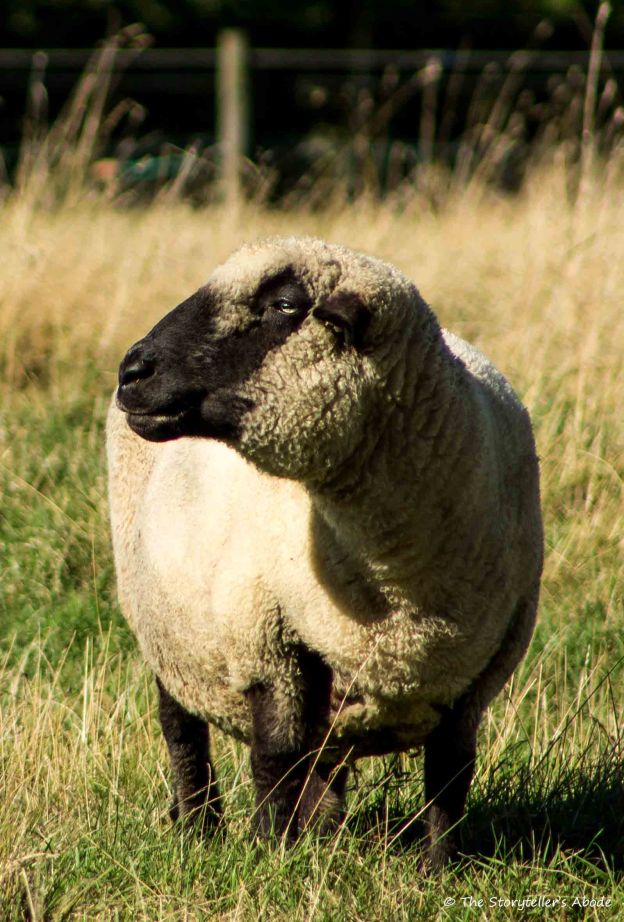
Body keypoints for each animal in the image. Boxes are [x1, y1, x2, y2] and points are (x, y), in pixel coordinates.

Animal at [107, 236, 543, 867]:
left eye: (286, 304)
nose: (133, 370)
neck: (394, 582)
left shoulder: (477, 674)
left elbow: (450, 774)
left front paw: (440, 870)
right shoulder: (267, 638)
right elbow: (273, 758)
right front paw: (270, 856)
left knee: (323, 756)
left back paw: (321, 827)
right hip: (166, 627)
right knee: (184, 733)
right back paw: (200, 829)